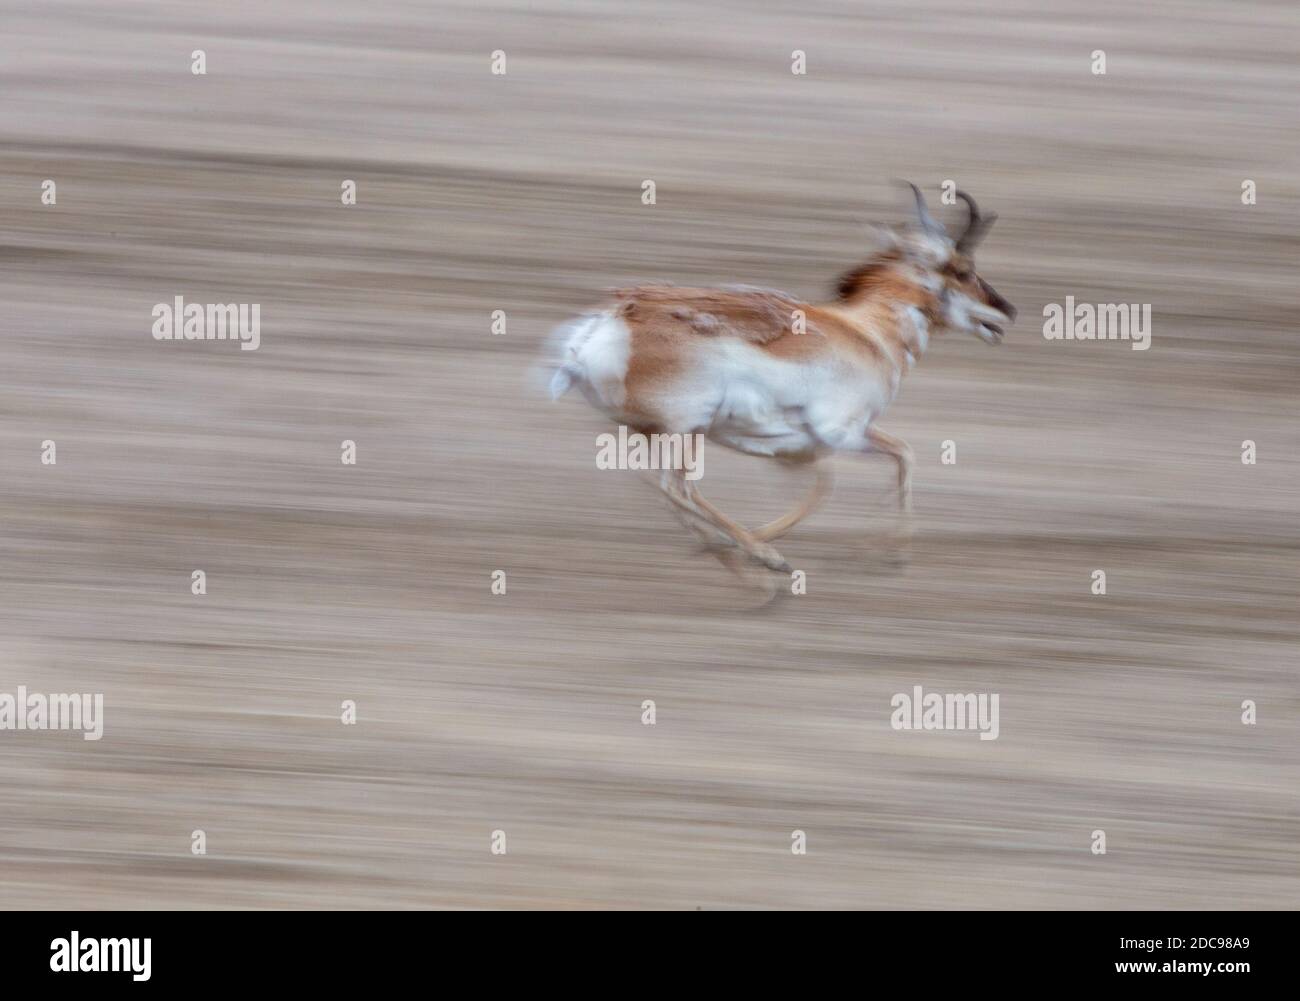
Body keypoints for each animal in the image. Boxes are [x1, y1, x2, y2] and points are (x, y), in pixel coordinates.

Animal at [548, 184, 1016, 578]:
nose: (1008, 310)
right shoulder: (841, 433)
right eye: (962, 270)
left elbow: (832, 482)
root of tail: (611, 321)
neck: (866, 332)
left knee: (657, 485)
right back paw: (763, 562)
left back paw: (730, 551)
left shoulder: (798, 448)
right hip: (686, 430)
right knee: (677, 488)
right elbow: (898, 457)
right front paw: (892, 554)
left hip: (649, 432)